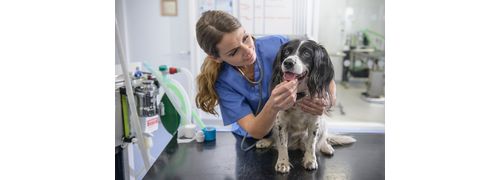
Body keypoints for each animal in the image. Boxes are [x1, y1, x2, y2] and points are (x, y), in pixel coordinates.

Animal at [258, 39, 356, 173]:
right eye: (286, 51)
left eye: (306, 54)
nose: (288, 62)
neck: (299, 96)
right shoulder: (281, 122)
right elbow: (282, 144)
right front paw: (282, 163)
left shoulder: (314, 122)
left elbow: (312, 143)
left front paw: (310, 160)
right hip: (274, 122)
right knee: (275, 139)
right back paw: (265, 141)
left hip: (323, 123)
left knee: (323, 139)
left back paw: (326, 147)